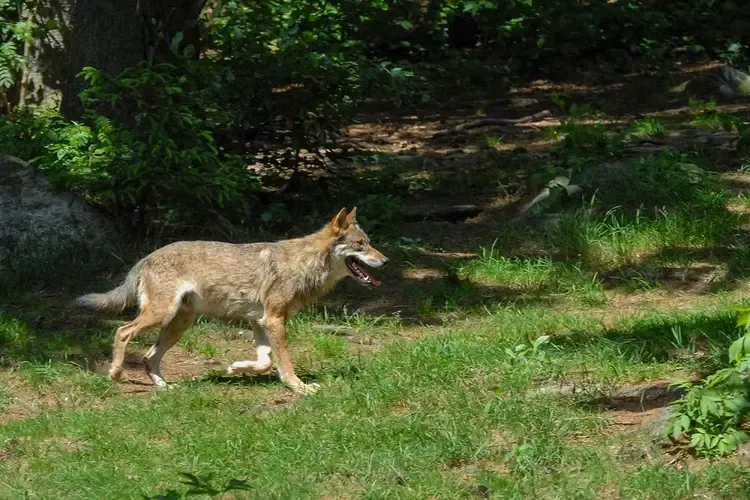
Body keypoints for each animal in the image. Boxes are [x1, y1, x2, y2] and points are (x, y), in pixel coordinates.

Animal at [75, 208, 388, 395]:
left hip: (178, 325)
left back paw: (164, 387)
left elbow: (265, 361)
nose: (385, 260)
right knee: (122, 331)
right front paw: (298, 387)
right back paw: (116, 374)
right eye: (361, 245)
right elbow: (283, 362)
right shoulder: (274, 320)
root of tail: (147, 257)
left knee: (149, 357)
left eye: (369, 242)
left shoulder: (260, 321)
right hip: (161, 316)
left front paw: (236, 368)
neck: (306, 263)